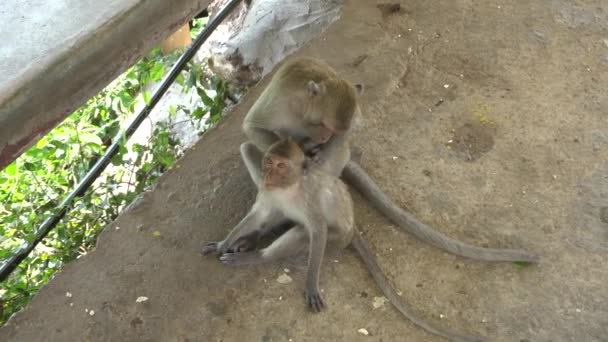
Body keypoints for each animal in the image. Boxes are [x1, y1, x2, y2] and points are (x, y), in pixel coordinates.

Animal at [204, 139, 484, 342]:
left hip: (338, 239)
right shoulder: (268, 193)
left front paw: (311, 285)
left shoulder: (309, 200)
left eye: (281, 166)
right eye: (269, 162)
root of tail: (352, 230)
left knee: (304, 233)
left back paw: (256, 256)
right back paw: (249, 241)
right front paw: (224, 243)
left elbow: (317, 230)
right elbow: (258, 214)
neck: (288, 188)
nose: (268, 174)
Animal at [240, 57, 540, 264]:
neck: (304, 108)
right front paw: (301, 155)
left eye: (330, 130)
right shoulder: (282, 101)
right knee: (249, 148)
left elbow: (340, 142)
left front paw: (314, 159)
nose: (323, 138)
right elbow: (253, 127)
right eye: (322, 125)